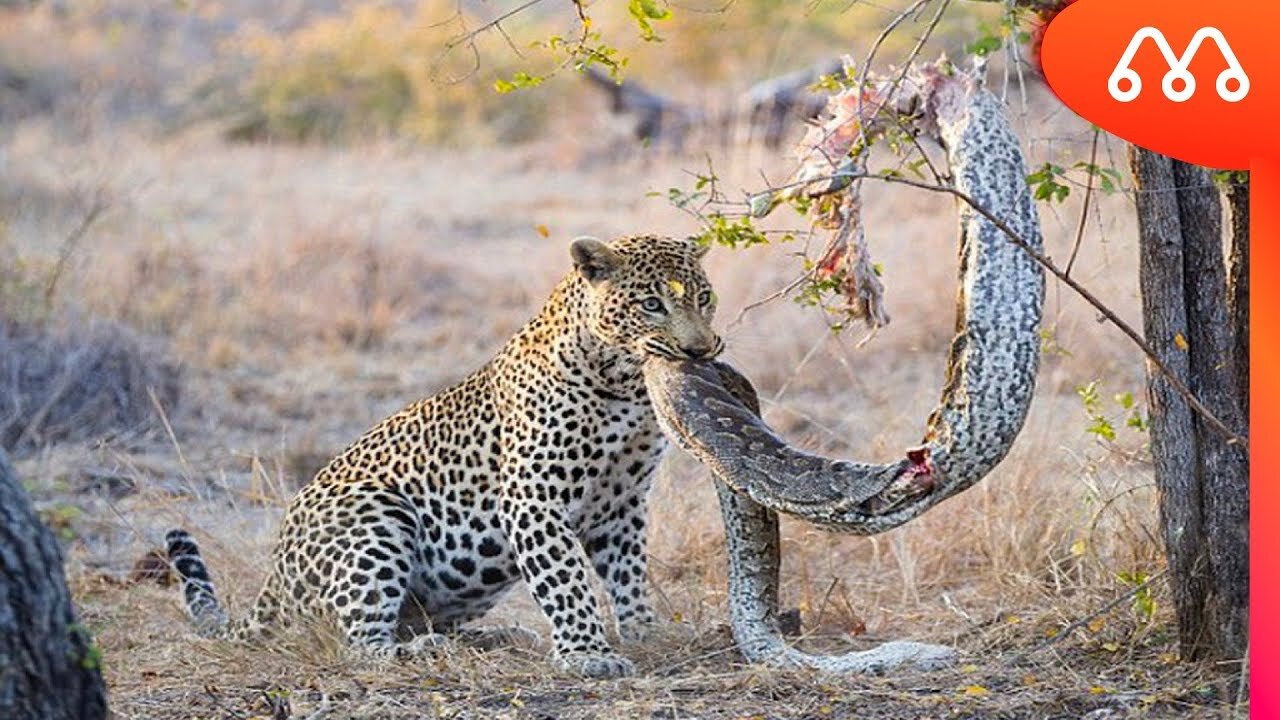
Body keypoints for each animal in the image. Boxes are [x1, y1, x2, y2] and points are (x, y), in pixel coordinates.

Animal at [163, 233, 721, 676]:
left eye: (705, 297)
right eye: (652, 304)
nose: (700, 350)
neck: (624, 384)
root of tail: (274, 578)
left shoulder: (621, 502)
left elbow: (628, 573)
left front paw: (644, 631)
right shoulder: (533, 497)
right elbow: (564, 580)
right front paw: (587, 654)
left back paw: (496, 637)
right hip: (375, 511)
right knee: (359, 643)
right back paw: (428, 650)